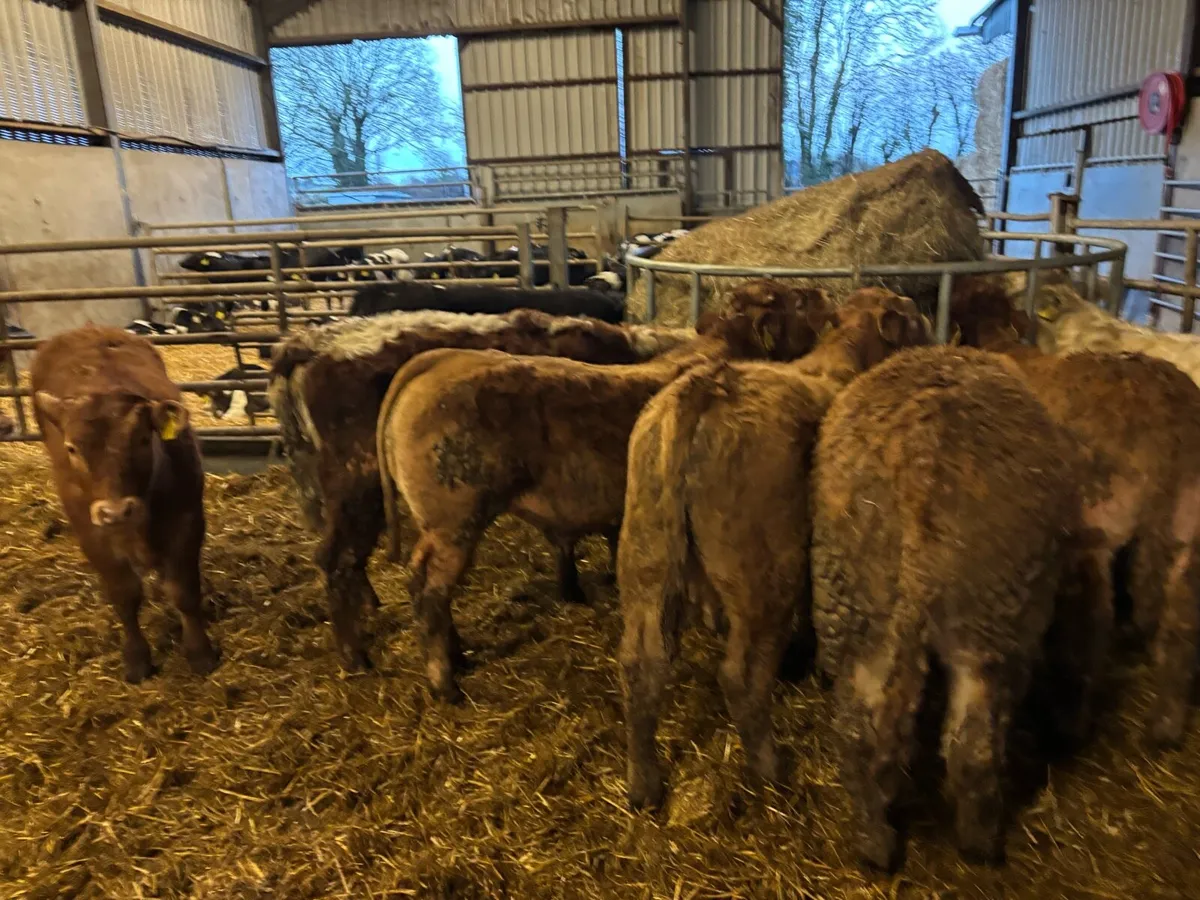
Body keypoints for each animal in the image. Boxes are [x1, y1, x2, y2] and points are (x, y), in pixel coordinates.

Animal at [30, 325, 219, 682]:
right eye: (72, 448)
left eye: (144, 439)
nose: (116, 511)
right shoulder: (92, 534)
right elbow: (124, 595)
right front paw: (136, 658)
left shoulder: (187, 521)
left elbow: (184, 590)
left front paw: (201, 653)